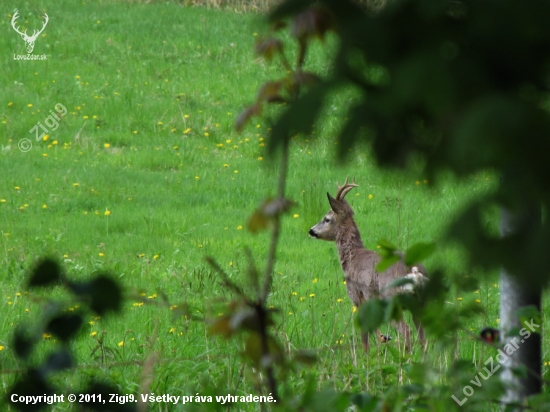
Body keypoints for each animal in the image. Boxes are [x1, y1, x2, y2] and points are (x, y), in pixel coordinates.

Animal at [308, 177, 430, 350]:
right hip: (420, 305)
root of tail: (414, 272)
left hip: (391, 300)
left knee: (406, 331)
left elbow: (365, 336)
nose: (311, 231)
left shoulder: (356, 296)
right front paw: (382, 341)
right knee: (423, 338)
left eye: (327, 219)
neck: (352, 256)